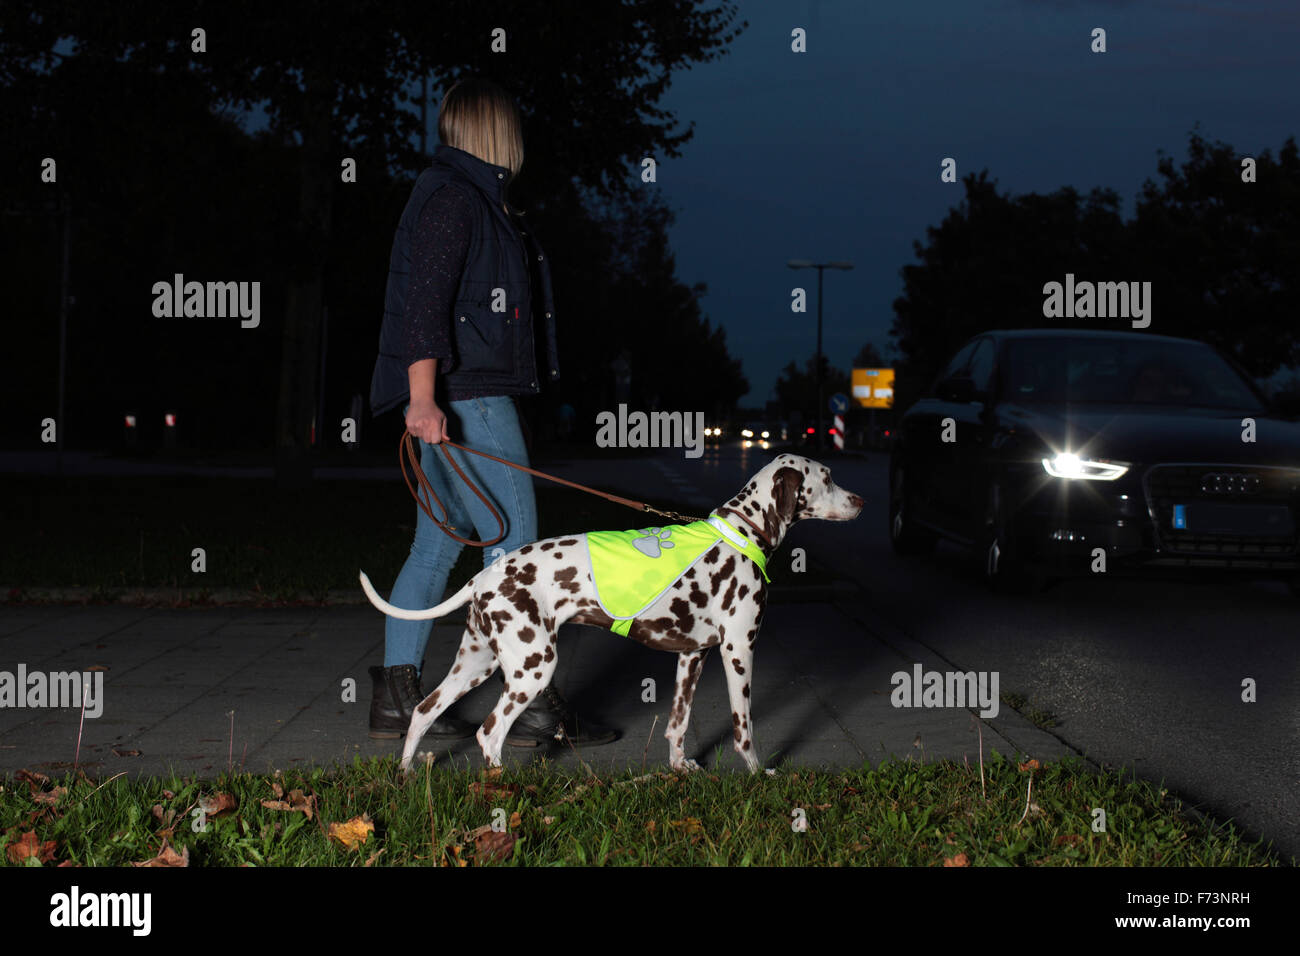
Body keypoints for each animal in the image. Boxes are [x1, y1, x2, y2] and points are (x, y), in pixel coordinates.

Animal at [361, 452, 863, 775]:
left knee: (423, 711)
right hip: (532, 668)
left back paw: (406, 774)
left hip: (478, 663)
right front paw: (758, 775)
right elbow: (744, 727)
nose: (860, 501)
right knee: (489, 733)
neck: (743, 530)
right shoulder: (739, 650)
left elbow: (677, 725)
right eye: (828, 477)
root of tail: (485, 576)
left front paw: (680, 769)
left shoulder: (692, 657)